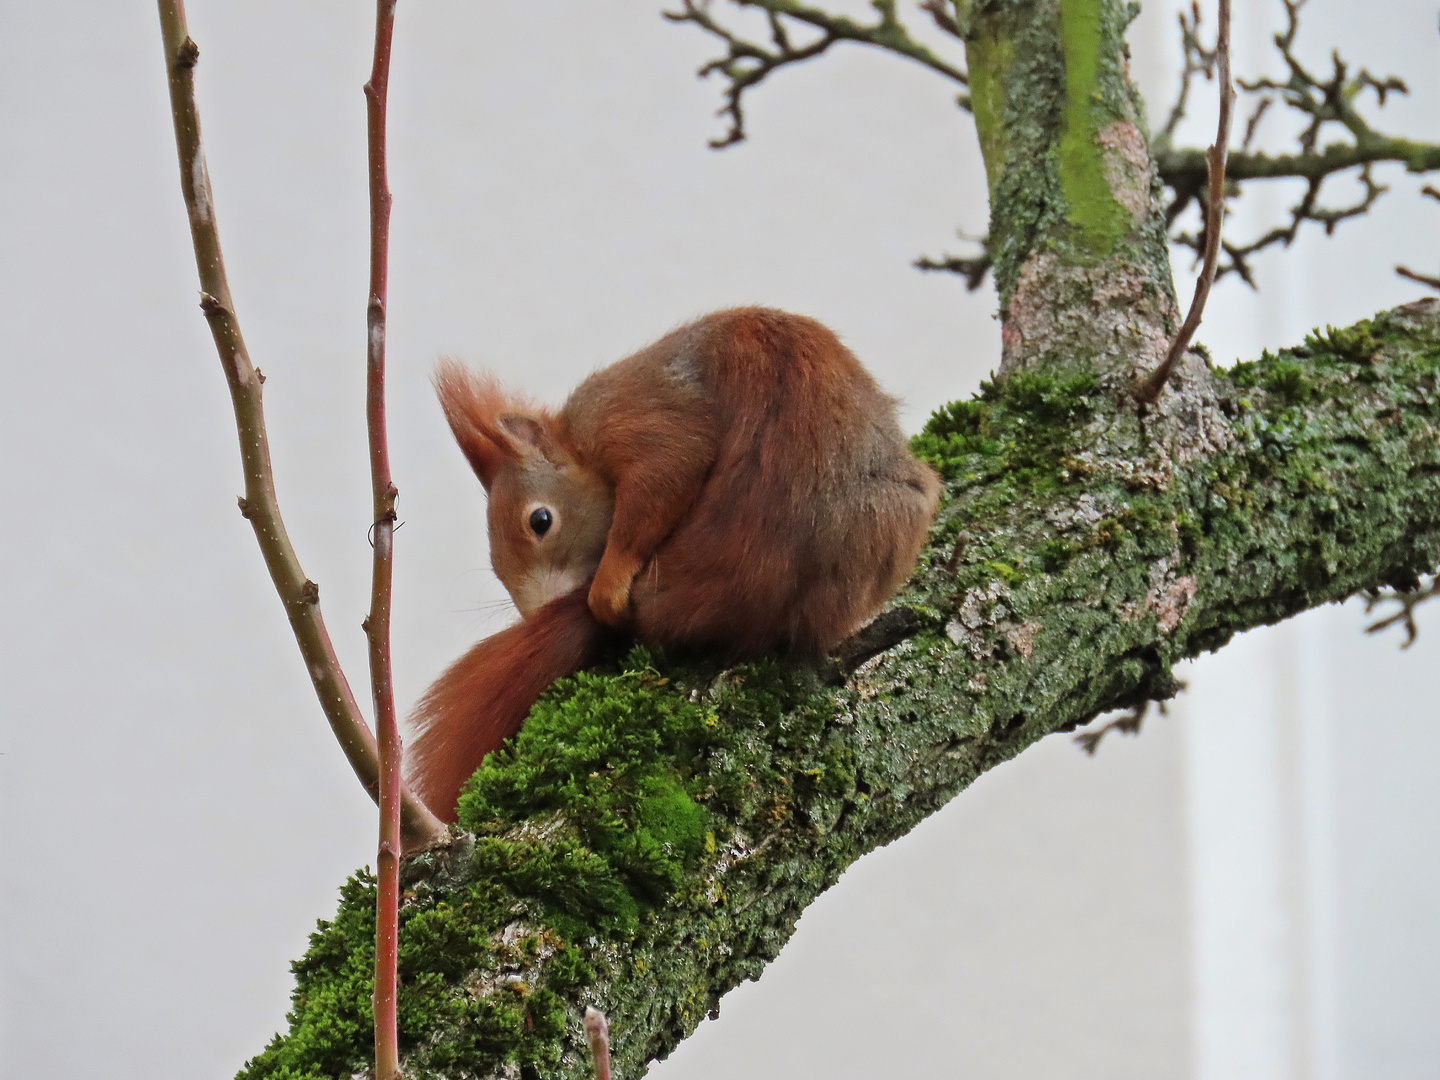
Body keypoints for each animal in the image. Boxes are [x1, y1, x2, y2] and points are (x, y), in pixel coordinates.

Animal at [408, 306, 944, 817]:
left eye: (540, 520)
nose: (537, 611)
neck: (579, 443)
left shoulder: (623, 409)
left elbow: (666, 467)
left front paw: (609, 581)